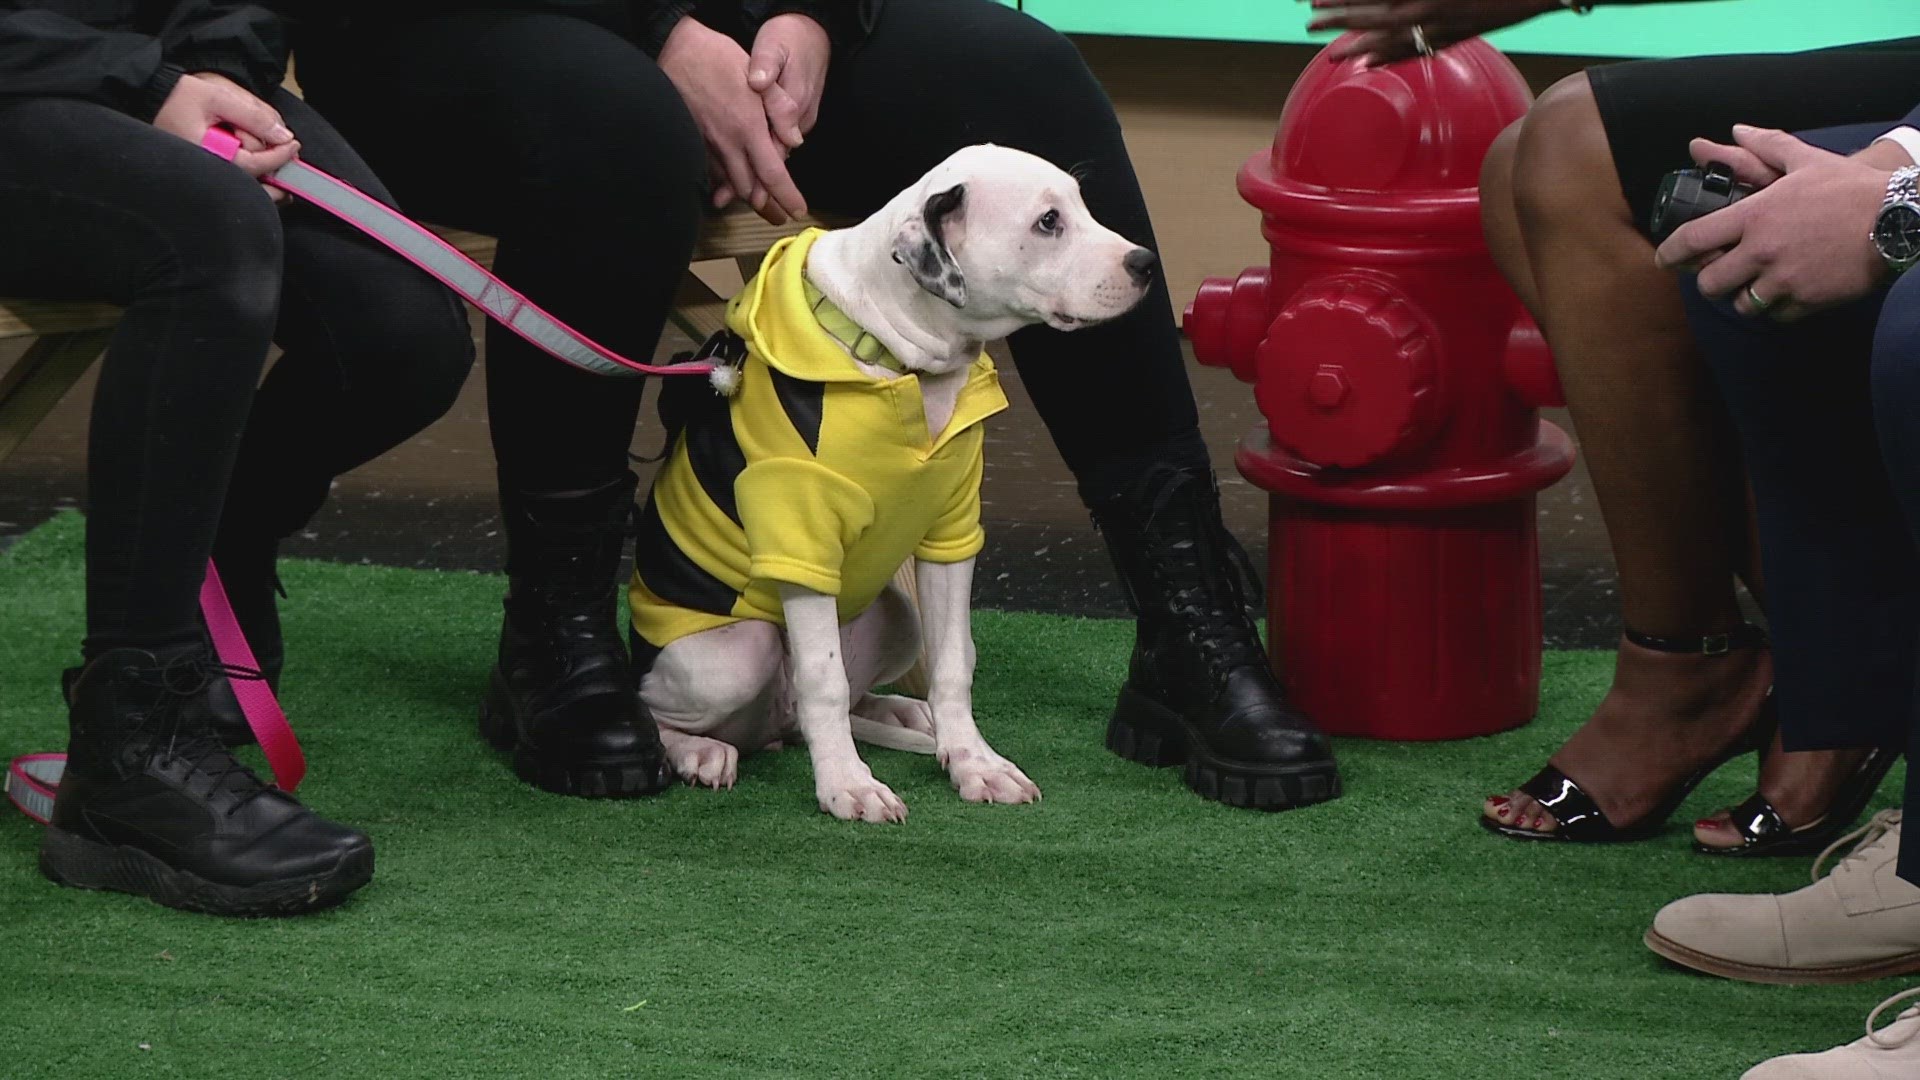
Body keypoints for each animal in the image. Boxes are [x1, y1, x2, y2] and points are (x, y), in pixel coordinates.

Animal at [625, 141, 1152, 814]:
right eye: (1048, 222)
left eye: (1081, 205)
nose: (1146, 263)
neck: (897, 358)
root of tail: (773, 726)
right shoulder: (801, 542)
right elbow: (823, 676)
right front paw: (846, 785)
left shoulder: (952, 536)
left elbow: (954, 662)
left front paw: (974, 762)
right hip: (732, 656)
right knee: (672, 707)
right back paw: (697, 751)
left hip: (898, 612)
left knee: (851, 697)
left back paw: (903, 714)